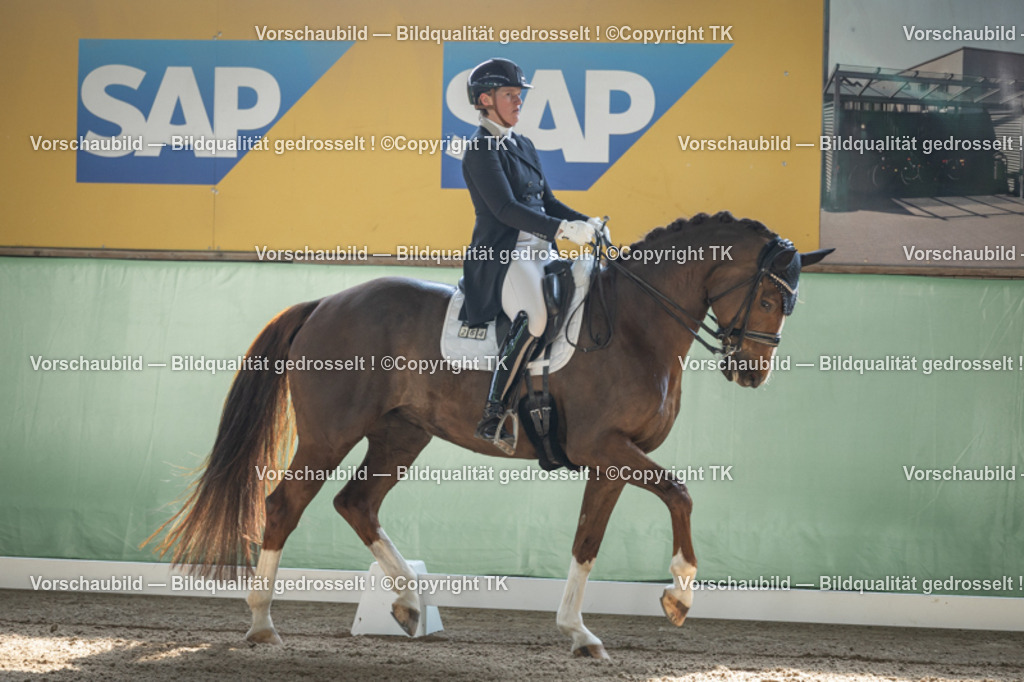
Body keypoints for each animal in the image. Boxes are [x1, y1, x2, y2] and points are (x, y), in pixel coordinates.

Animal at [148, 211, 832, 659]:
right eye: (770, 297)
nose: (753, 372)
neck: (637, 325)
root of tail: (326, 304)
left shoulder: (610, 460)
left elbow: (588, 541)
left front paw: (579, 634)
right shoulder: (605, 447)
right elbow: (682, 494)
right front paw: (679, 599)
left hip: (402, 435)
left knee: (356, 503)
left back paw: (409, 605)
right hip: (329, 435)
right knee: (285, 504)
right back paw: (262, 625)